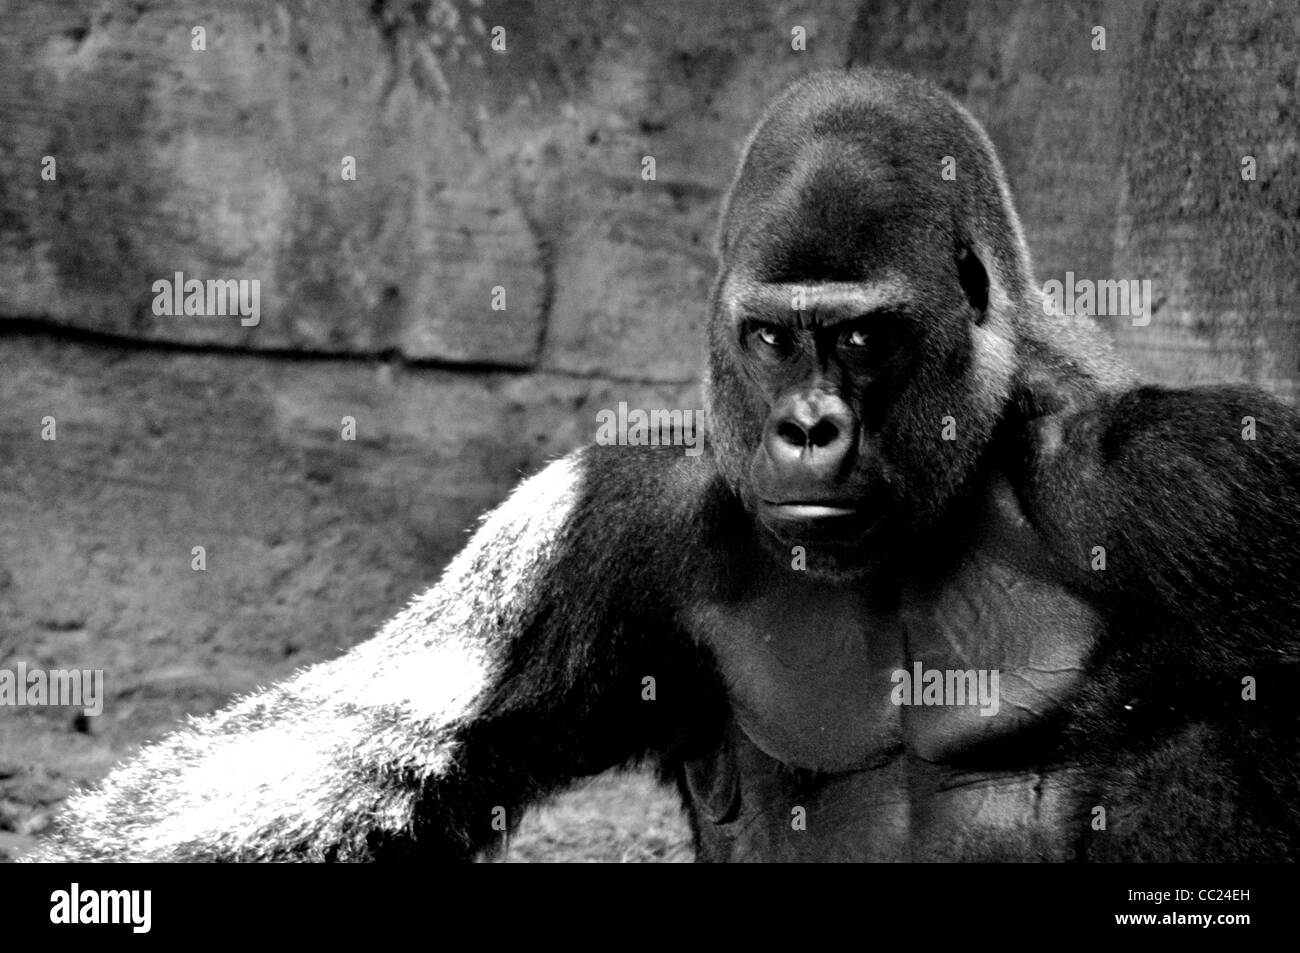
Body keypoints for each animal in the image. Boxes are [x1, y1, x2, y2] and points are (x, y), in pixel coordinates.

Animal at [27, 68, 1300, 863]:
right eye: (772, 337)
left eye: (862, 338)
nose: (807, 428)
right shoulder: (605, 526)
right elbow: (373, 739)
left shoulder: (1191, 482)